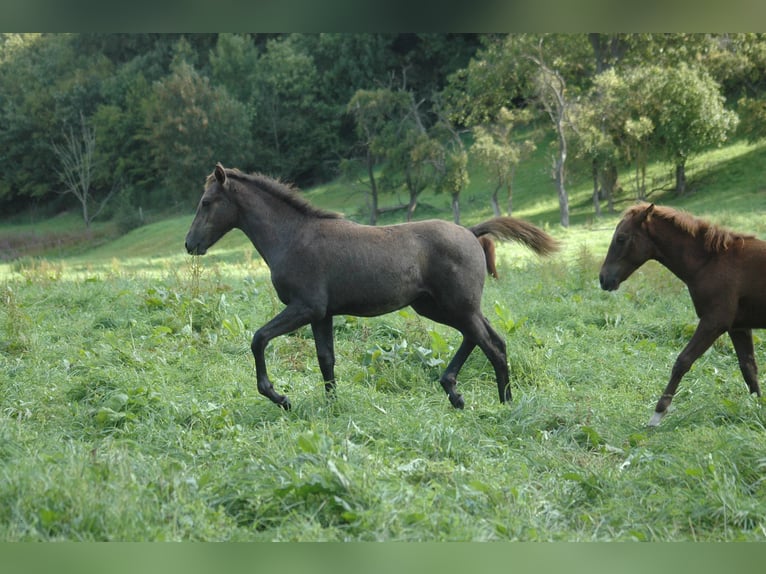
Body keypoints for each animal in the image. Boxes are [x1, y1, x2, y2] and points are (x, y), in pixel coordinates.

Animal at [185, 163, 560, 410]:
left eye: (206, 202)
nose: (190, 244)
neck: (292, 236)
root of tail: (470, 231)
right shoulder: (323, 314)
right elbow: (326, 359)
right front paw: (332, 406)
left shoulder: (305, 307)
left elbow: (259, 338)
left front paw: (280, 397)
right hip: (438, 306)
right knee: (486, 338)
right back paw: (458, 392)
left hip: (457, 306)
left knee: (491, 346)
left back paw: (501, 403)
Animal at [599, 202, 766, 426]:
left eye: (621, 238)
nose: (603, 279)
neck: (710, 262)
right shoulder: (738, 327)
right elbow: (749, 368)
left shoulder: (714, 321)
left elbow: (682, 362)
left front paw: (658, 414)